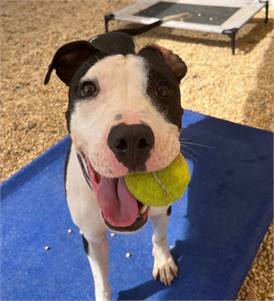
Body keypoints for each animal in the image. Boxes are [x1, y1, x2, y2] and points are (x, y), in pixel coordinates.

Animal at [44, 24, 186, 300]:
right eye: (87, 89)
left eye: (163, 90)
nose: (131, 138)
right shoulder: (92, 237)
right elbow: (101, 278)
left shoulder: (162, 211)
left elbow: (160, 236)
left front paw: (163, 261)